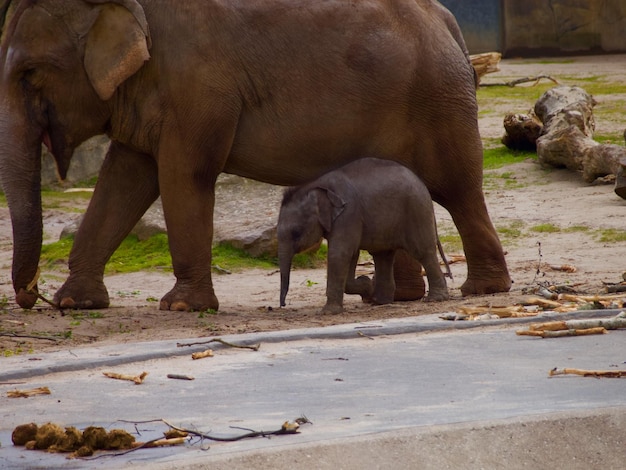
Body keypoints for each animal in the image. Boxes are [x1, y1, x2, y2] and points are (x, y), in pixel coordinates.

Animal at [278, 156, 448, 314]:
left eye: (296, 233)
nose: (283, 305)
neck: (314, 185)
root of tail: (422, 185)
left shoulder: (349, 214)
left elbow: (339, 254)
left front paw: (328, 312)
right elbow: (351, 254)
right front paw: (367, 285)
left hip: (416, 211)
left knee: (422, 251)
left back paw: (435, 299)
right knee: (383, 256)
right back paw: (380, 301)